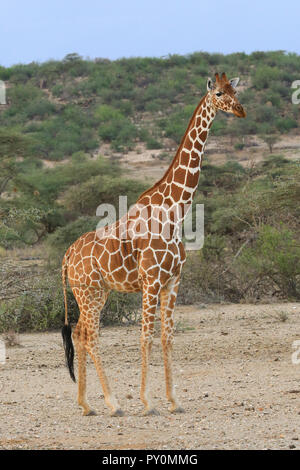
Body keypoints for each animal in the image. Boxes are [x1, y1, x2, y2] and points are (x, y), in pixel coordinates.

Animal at [61, 71, 246, 416]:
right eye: (218, 93)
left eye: (236, 91)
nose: (240, 110)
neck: (174, 213)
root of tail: (66, 255)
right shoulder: (151, 281)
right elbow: (145, 336)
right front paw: (148, 402)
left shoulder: (173, 281)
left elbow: (167, 337)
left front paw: (174, 400)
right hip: (88, 292)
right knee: (91, 336)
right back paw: (113, 403)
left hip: (95, 293)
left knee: (79, 333)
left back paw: (86, 404)